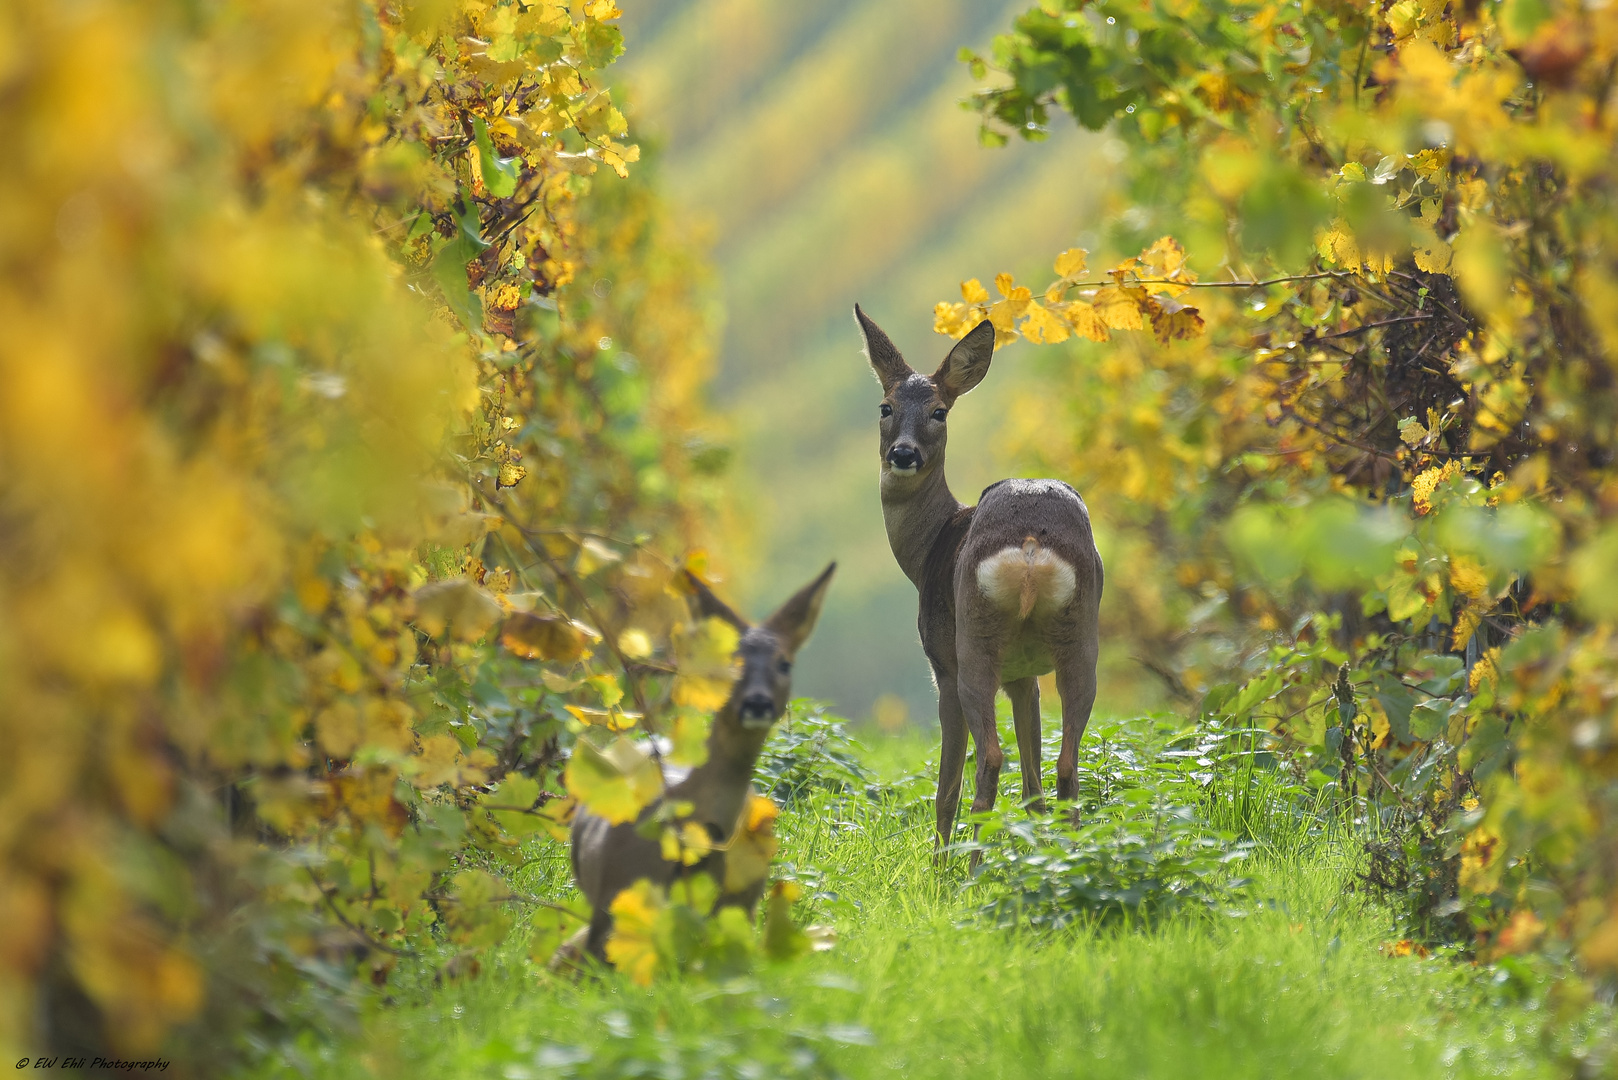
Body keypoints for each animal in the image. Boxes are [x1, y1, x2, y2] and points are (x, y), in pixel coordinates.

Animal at [854, 306, 1106, 854]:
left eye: (939, 412)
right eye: (885, 407)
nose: (903, 454)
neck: (927, 548)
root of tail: (1030, 545)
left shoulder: (941, 663)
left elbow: (945, 786)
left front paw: (938, 863)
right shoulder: (1024, 677)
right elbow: (1032, 783)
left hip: (974, 641)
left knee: (989, 759)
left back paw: (966, 865)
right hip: (1080, 637)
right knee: (1063, 765)